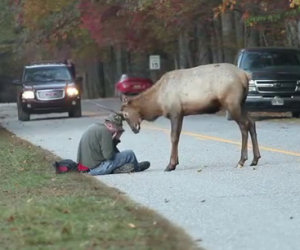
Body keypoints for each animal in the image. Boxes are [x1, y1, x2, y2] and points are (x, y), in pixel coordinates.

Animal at [119, 63, 260, 171]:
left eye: (125, 114)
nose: (134, 129)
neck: (158, 103)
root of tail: (245, 75)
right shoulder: (181, 114)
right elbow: (177, 137)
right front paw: (175, 162)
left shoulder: (175, 112)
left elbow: (173, 137)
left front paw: (170, 165)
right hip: (242, 103)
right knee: (252, 122)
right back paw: (255, 159)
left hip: (232, 104)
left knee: (244, 126)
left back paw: (241, 161)